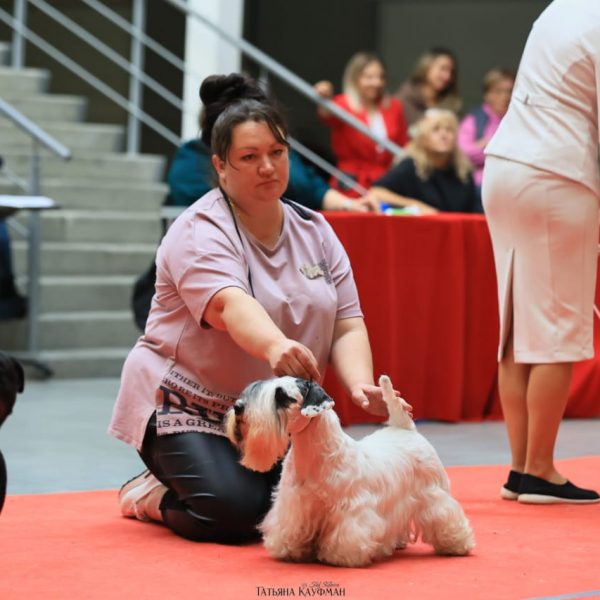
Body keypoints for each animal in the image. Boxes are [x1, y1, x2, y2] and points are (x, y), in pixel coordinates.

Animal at [224, 376, 474, 568]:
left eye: (282, 396)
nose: (238, 407)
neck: (313, 455)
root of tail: (405, 428)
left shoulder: (351, 511)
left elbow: (348, 534)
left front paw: (341, 555)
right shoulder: (294, 506)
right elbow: (291, 528)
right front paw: (290, 549)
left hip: (434, 494)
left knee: (447, 516)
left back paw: (457, 543)